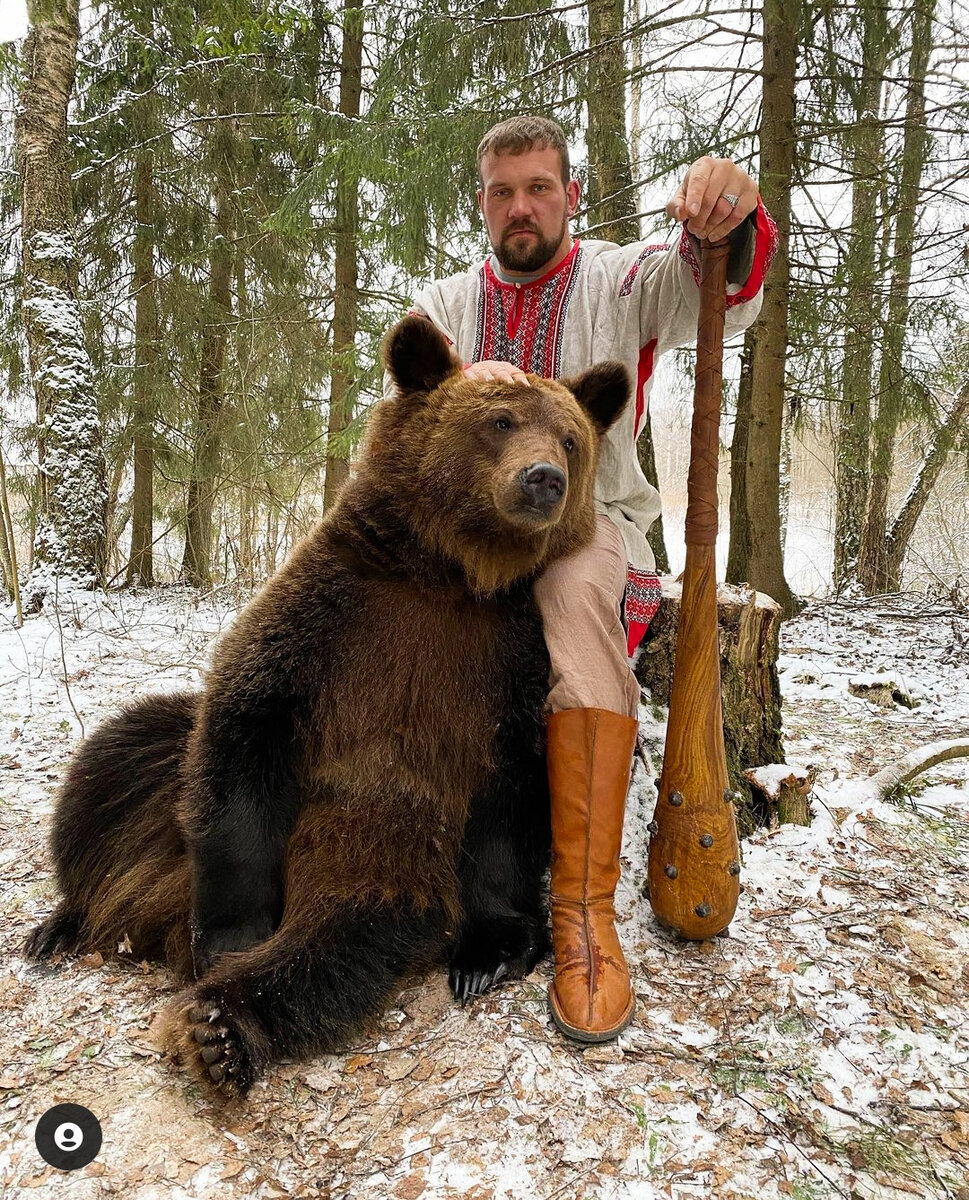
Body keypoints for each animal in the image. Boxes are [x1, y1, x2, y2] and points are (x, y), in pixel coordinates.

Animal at [24, 316, 628, 1099]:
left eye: (569, 438)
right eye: (500, 421)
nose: (543, 479)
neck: (454, 576)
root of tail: (149, 921)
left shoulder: (505, 662)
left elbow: (517, 791)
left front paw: (491, 951)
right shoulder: (333, 619)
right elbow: (244, 730)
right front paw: (233, 933)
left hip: (389, 866)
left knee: (335, 954)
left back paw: (220, 1028)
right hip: (184, 807)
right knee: (119, 758)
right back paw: (66, 924)